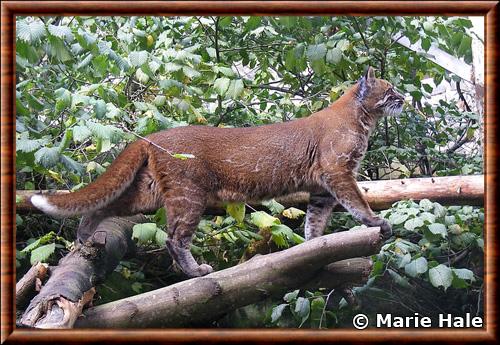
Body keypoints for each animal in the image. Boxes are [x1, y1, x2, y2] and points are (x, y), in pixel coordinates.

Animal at [31, 67, 404, 276]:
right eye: (389, 90)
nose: (404, 97)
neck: (362, 118)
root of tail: (153, 137)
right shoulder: (338, 172)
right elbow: (356, 200)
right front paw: (376, 222)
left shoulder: (322, 186)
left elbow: (315, 218)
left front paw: (313, 247)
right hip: (189, 194)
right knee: (175, 238)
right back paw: (196, 272)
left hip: (153, 191)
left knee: (109, 204)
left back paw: (85, 233)